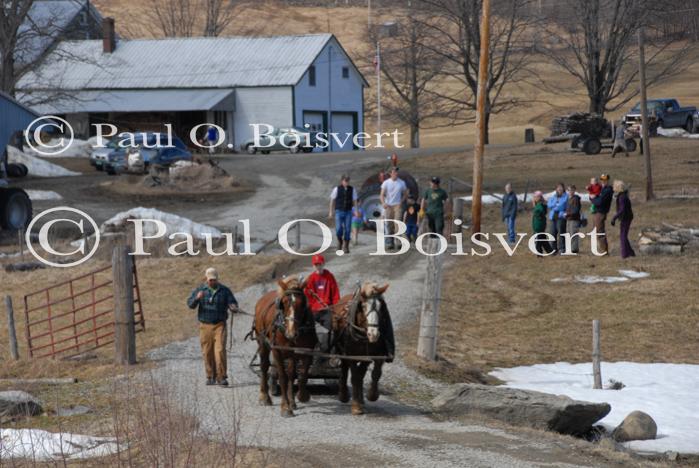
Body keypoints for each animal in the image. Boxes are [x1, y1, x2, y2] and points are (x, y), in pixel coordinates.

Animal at [253, 274, 316, 416]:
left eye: (302, 303)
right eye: (285, 303)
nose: (291, 333)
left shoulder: (307, 350)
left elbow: (302, 374)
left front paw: (301, 396)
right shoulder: (277, 351)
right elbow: (282, 377)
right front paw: (285, 407)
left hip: (291, 354)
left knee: (291, 373)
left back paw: (292, 401)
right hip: (262, 342)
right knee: (264, 366)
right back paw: (264, 397)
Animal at [330, 284, 392, 414]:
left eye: (381, 307)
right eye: (363, 306)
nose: (373, 334)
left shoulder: (374, 355)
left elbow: (375, 374)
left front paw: (371, 395)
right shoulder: (351, 355)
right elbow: (354, 377)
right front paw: (356, 406)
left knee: (360, 374)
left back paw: (361, 398)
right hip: (343, 351)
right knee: (344, 370)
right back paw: (344, 395)